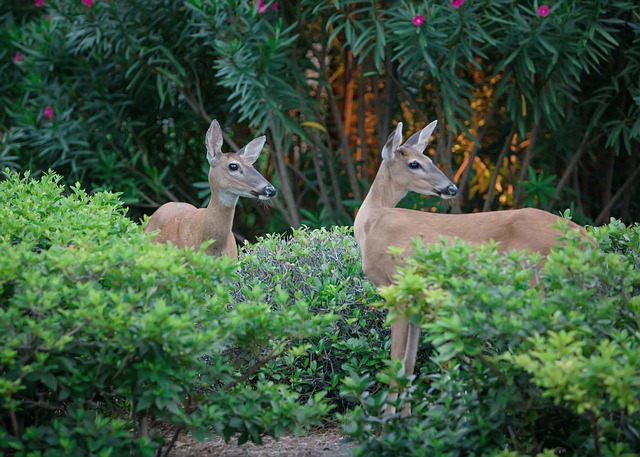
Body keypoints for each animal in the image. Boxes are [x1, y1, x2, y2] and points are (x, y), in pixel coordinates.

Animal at [353, 120, 588, 417]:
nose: (452, 188)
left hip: (539, 284)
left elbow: (396, 362)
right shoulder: (417, 298)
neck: (371, 224)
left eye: (429, 160)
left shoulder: (397, 287)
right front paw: (405, 418)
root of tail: (587, 238)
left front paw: (388, 421)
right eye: (415, 164)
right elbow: (408, 363)